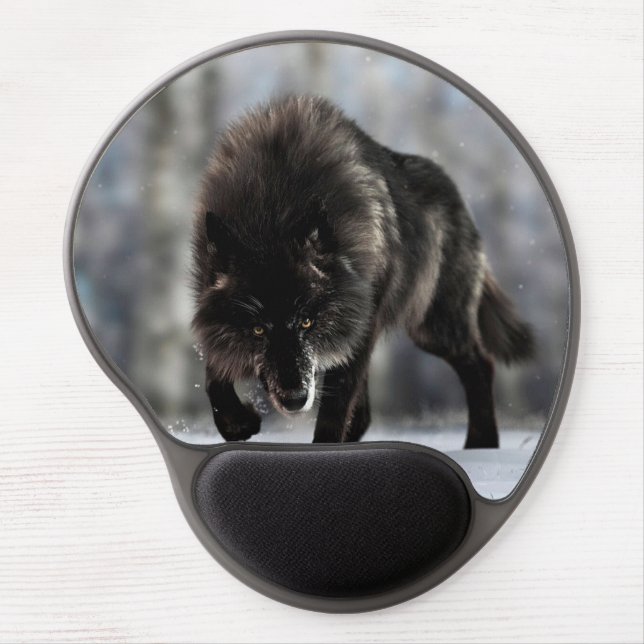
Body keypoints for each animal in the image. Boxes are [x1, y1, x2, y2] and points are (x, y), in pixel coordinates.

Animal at [191, 95, 533, 448]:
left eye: (307, 322)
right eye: (258, 330)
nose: (295, 400)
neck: (274, 207)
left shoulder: (358, 328)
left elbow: (334, 407)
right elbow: (214, 374)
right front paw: (237, 423)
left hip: (433, 327)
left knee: (481, 365)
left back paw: (482, 446)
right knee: (368, 412)